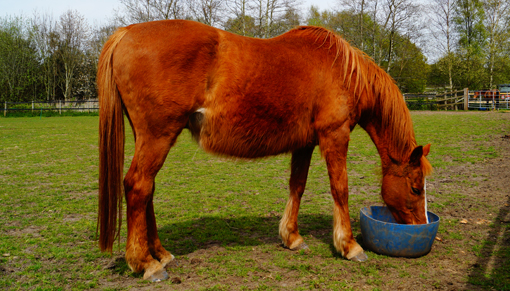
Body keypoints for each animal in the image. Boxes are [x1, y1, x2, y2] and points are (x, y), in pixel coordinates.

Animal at [97, 19, 432, 282]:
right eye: (416, 188)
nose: (420, 227)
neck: (343, 71)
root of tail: (126, 33)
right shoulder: (334, 136)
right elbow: (340, 188)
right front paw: (349, 246)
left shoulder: (305, 143)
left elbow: (297, 186)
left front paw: (292, 238)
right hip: (158, 136)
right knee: (138, 186)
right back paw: (146, 264)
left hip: (151, 137)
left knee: (147, 190)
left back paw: (160, 253)